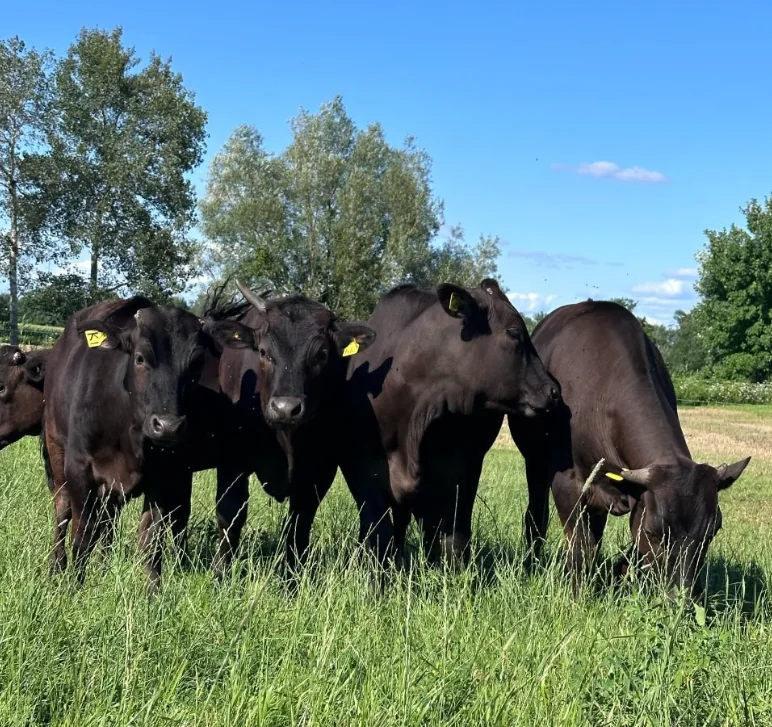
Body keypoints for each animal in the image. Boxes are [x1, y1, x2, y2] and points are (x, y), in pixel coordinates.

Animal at [42, 296, 256, 587]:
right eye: (140, 358)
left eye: (196, 364)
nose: (168, 426)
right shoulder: (79, 469)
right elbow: (83, 532)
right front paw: (75, 583)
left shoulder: (163, 477)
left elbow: (151, 538)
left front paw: (152, 590)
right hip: (55, 445)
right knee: (62, 510)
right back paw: (57, 565)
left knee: (108, 520)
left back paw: (104, 563)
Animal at [200, 281, 376, 576]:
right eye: (263, 352)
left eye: (322, 354)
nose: (286, 408)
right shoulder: (232, 459)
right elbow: (230, 512)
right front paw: (220, 571)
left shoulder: (320, 470)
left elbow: (299, 524)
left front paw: (292, 574)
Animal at [339, 279, 561, 565]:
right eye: (514, 333)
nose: (553, 391)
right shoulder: (360, 466)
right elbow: (378, 532)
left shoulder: (465, 467)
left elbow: (455, 535)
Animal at [509, 300, 750, 597]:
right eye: (654, 532)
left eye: (712, 532)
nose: (681, 597)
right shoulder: (567, 483)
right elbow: (579, 547)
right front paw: (578, 593)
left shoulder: (636, 498)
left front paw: (619, 571)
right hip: (535, 462)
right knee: (537, 515)